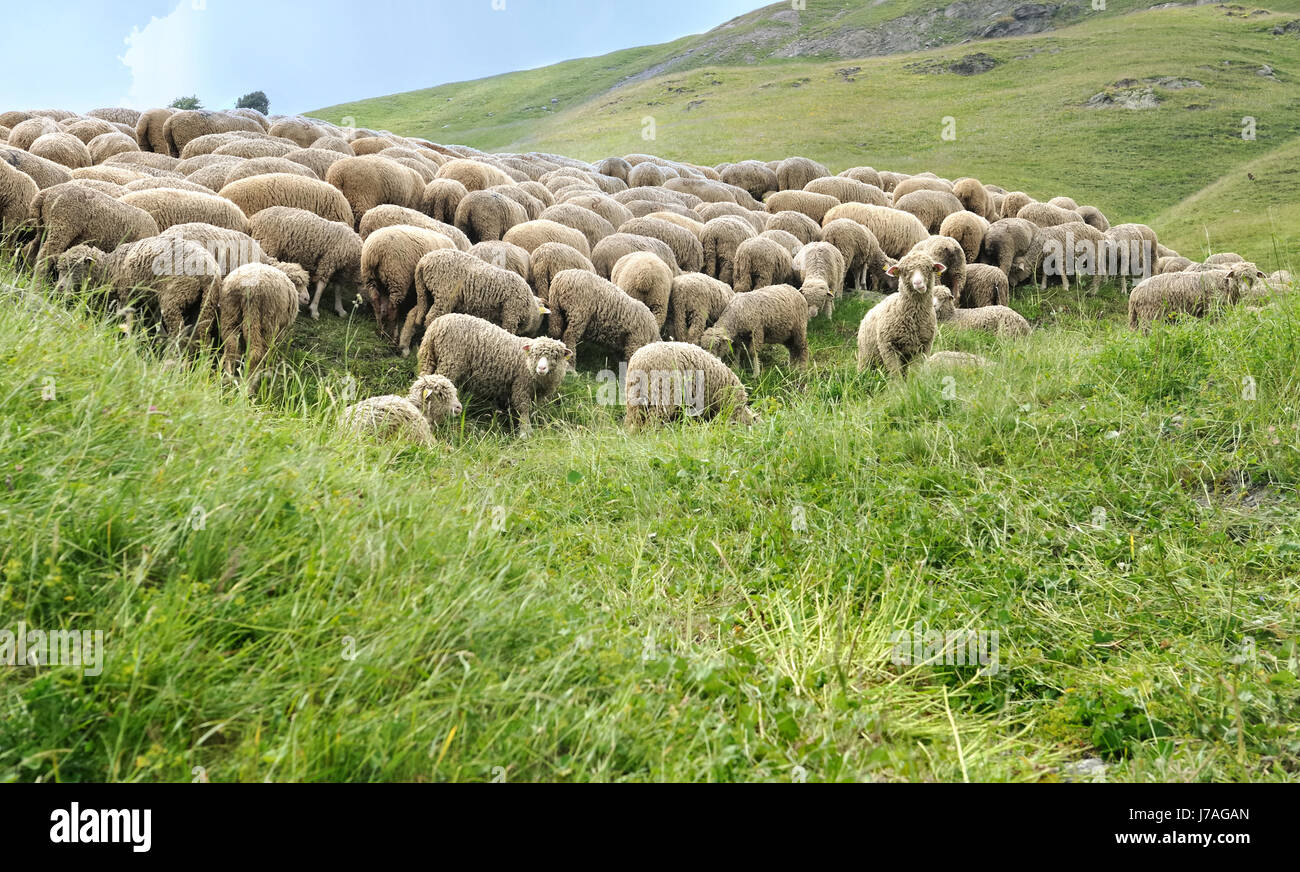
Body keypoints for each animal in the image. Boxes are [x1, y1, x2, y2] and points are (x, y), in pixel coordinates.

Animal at [54, 237, 218, 339]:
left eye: (73, 267)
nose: (59, 288)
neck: (111, 267)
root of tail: (207, 271)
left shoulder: (127, 297)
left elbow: (128, 324)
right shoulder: (151, 302)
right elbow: (158, 330)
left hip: (174, 296)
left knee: (180, 333)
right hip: (206, 303)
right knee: (202, 335)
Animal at [361, 225, 458, 354]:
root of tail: (375, 251)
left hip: (371, 279)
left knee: (377, 304)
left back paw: (382, 332)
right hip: (397, 277)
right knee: (392, 309)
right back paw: (393, 338)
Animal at [417, 313, 569, 435]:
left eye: (555, 356)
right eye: (534, 354)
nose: (541, 368)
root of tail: (436, 326)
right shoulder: (521, 386)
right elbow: (523, 409)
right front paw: (525, 432)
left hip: (428, 358)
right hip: (450, 362)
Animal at [418, 248, 547, 336]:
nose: (536, 334)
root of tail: (424, 261)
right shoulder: (511, 313)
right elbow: (507, 330)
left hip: (425, 293)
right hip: (444, 292)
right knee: (431, 317)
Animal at [1128, 264, 1262, 332]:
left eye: (1252, 278)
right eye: (1237, 277)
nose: (1245, 290)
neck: (1226, 283)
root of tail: (1134, 294)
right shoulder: (1213, 311)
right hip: (1150, 317)